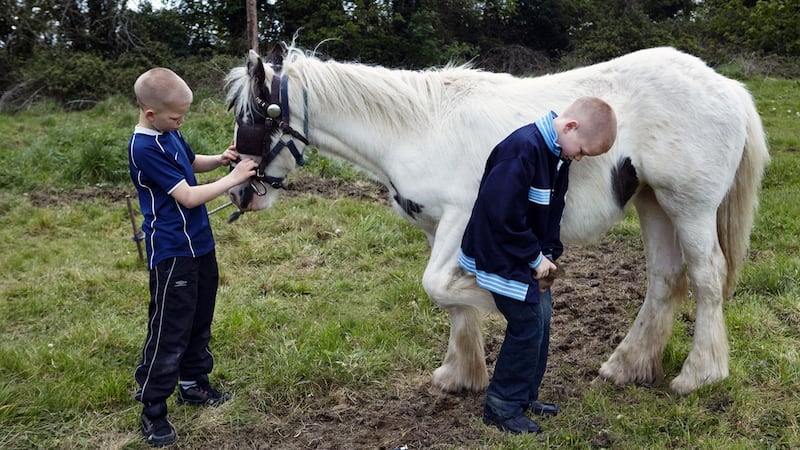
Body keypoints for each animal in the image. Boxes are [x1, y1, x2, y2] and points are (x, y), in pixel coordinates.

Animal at [223, 43, 769, 395]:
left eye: (255, 116)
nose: (241, 193)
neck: (418, 128)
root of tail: (728, 87)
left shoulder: (462, 219)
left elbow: (439, 286)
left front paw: (496, 301)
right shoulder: (438, 228)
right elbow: (446, 295)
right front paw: (459, 375)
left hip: (689, 207)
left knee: (706, 278)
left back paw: (698, 376)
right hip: (653, 203)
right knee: (664, 279)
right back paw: (627, 366)